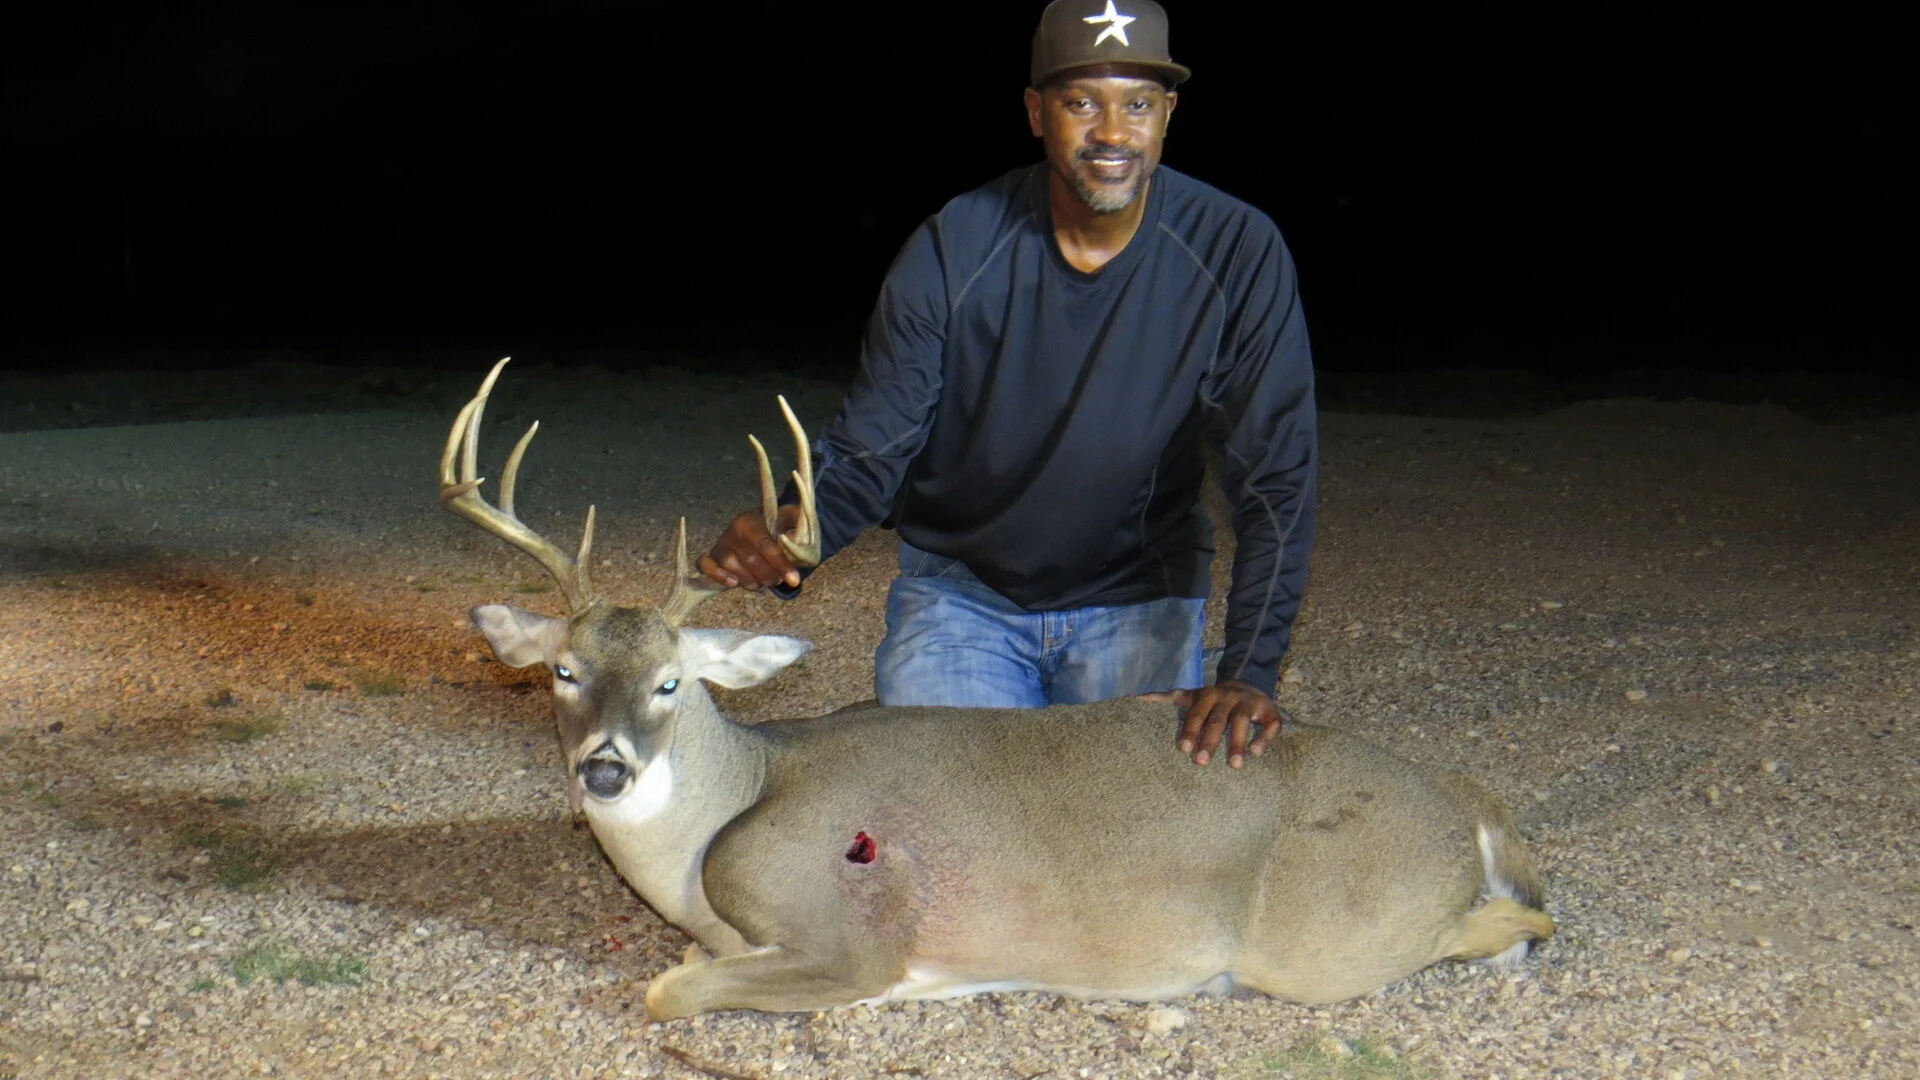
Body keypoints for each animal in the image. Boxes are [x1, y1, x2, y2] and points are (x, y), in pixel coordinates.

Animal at [437, 358, 1555, 1020]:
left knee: (1517, 925)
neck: (726, 807)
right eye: (564, 672)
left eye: (671, 681)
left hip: (1325, 938)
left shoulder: (848, 942)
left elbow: (670, 989)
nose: (606, 772)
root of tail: (1465, 802)